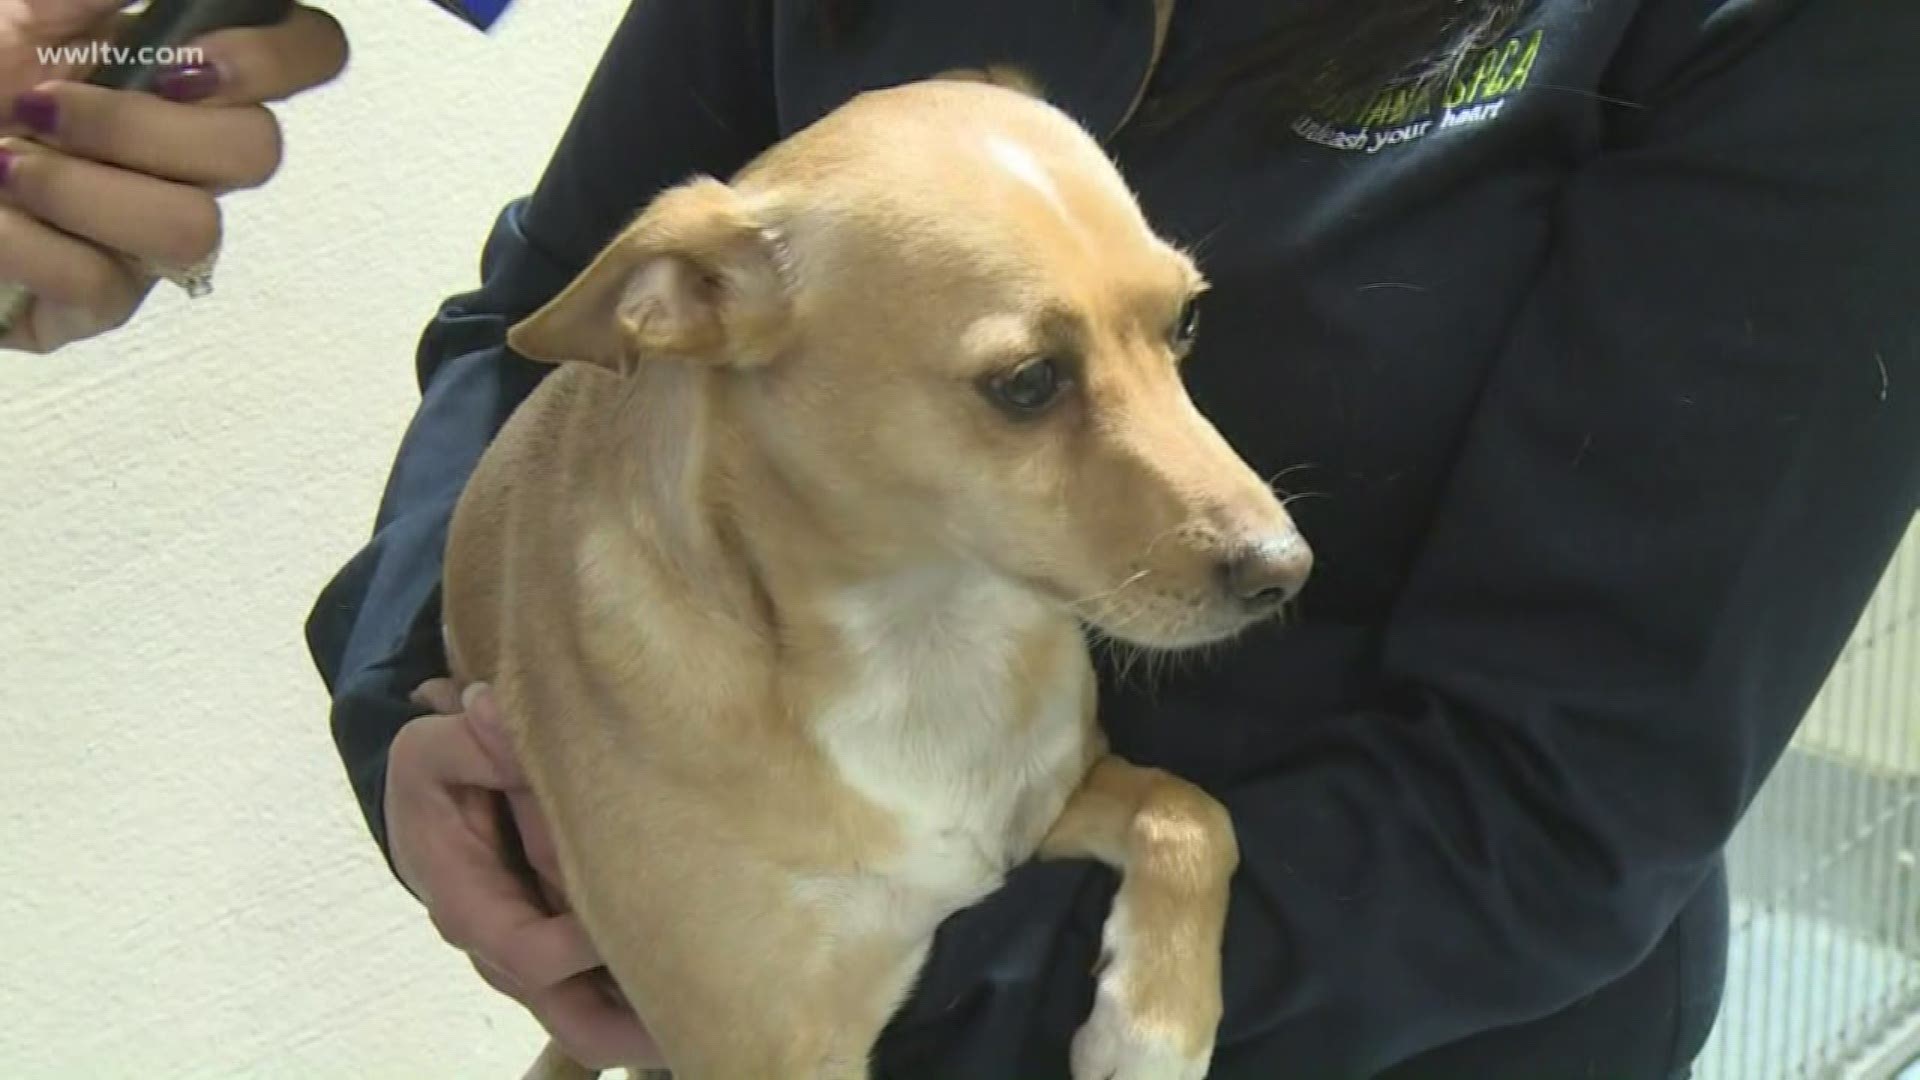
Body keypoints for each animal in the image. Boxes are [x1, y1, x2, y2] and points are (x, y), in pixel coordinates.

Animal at [441, 77, 1313, 1076]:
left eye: (1187, 321)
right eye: (1028, 381)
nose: (1287, 569)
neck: (924, 633)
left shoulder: (1048, 811)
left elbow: (1192, 811)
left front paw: (1155, 1028)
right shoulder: (769, 1047)